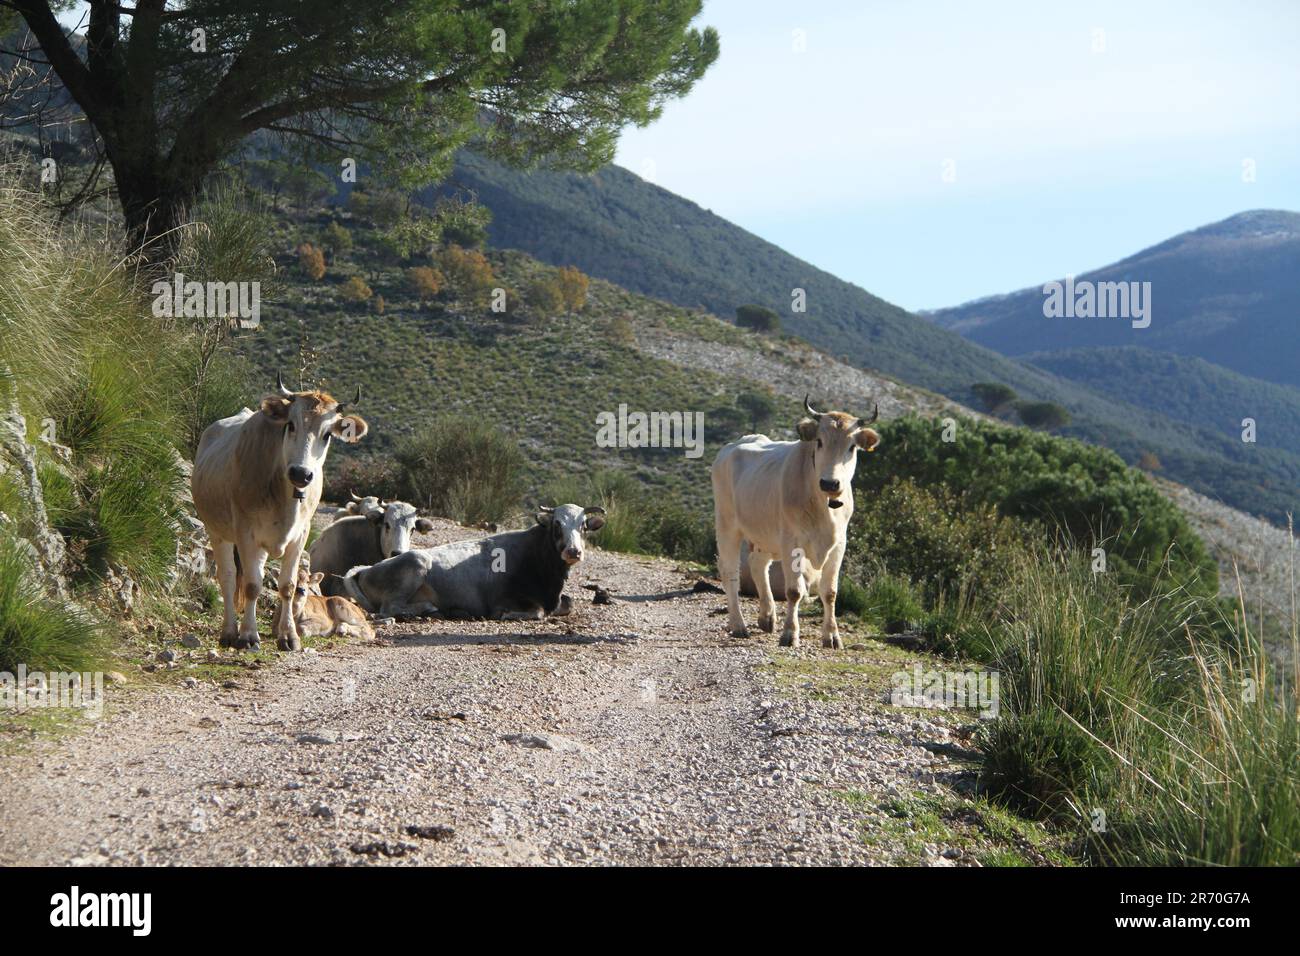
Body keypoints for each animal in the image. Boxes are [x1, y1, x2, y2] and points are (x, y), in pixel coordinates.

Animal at [189, 374, 369, 650]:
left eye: (328, 434)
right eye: (290, 425)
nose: (301, 473)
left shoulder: (300, 535)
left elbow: (288, 585)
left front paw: (289, 636)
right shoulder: (246, 533)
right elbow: (252, 584)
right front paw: (249, 636)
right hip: (217, 531)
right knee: (228, 577)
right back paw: (230, 632)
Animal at [325, 504, 608, 624]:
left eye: (583, 527)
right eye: (557, 525)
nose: (574, 551)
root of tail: (366, 569)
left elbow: (568, 603)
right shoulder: (504, 600)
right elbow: (536, 612)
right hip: (417, 562)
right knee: (389, 608)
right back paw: (429, 608)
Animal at [712, 395, 883, 650]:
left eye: (852, 447)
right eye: (819, 441)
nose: (830, 483)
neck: (823, 506)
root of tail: (735, 444)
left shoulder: (839, 544)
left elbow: (830, 592)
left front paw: (832, 636)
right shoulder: (791, 542)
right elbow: (794, 591)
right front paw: (790, 634)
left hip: (766, 535)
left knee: (757, 564)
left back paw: (767, 617)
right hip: (727, 524)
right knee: (730, 571)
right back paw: (738, 625)